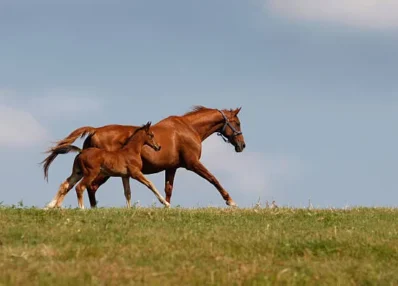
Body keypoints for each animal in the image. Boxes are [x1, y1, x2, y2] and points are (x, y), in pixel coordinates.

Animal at [41, 105, 246, 208]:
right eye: (237, 123)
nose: (242, 145)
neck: (189, 128)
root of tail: (95, 130)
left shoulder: (171, 167)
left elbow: (168, 189)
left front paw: (166, 207)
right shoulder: (193, 163)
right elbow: (213, 179)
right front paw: (230, 201)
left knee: (72, 185)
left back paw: (53, 205)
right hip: (101, 172)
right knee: (89, 187)